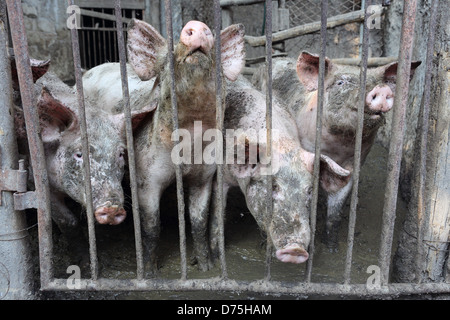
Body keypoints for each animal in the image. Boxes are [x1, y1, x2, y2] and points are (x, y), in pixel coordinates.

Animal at [125, 20, 246, 276]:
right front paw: (150, 273)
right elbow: (151, 226)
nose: (197, 25)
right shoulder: (145, 177)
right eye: (168, 58)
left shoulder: (205, 175)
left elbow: (199, 221)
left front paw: (206, 267)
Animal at [208, 76, 352, 264]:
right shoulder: (221, 175)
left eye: (309, 190)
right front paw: (215, 258)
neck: (281, 143)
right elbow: (217, 214)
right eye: (273, 187)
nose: (296, 249)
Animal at [251, 52, 420, 250]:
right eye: (341, 83)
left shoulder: (353, 164)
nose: (382, 89)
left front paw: (331, 247)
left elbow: (336, 208)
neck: (339, 148)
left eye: (378, 81)